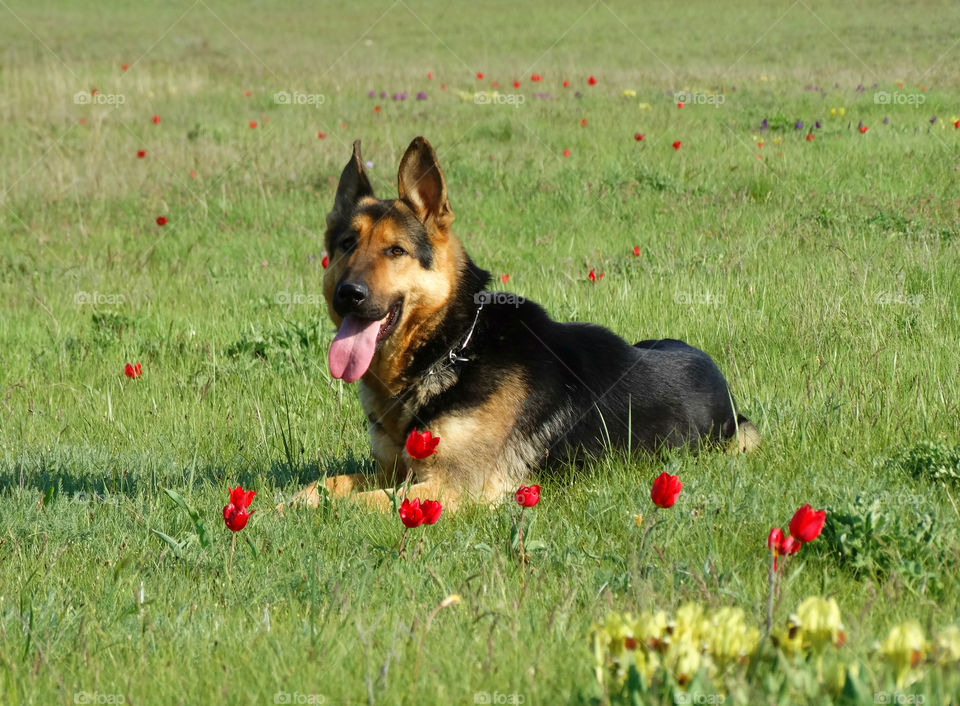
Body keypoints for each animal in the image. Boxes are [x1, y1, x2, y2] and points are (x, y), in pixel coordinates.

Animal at [292, 139, 756, 512]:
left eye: (395, 251)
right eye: (347, 245)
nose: (348, 294)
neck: (453, 347)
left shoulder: (449, 487)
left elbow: (350, 504)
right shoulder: (395, 473)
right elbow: (326, 485)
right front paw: (287, 502)